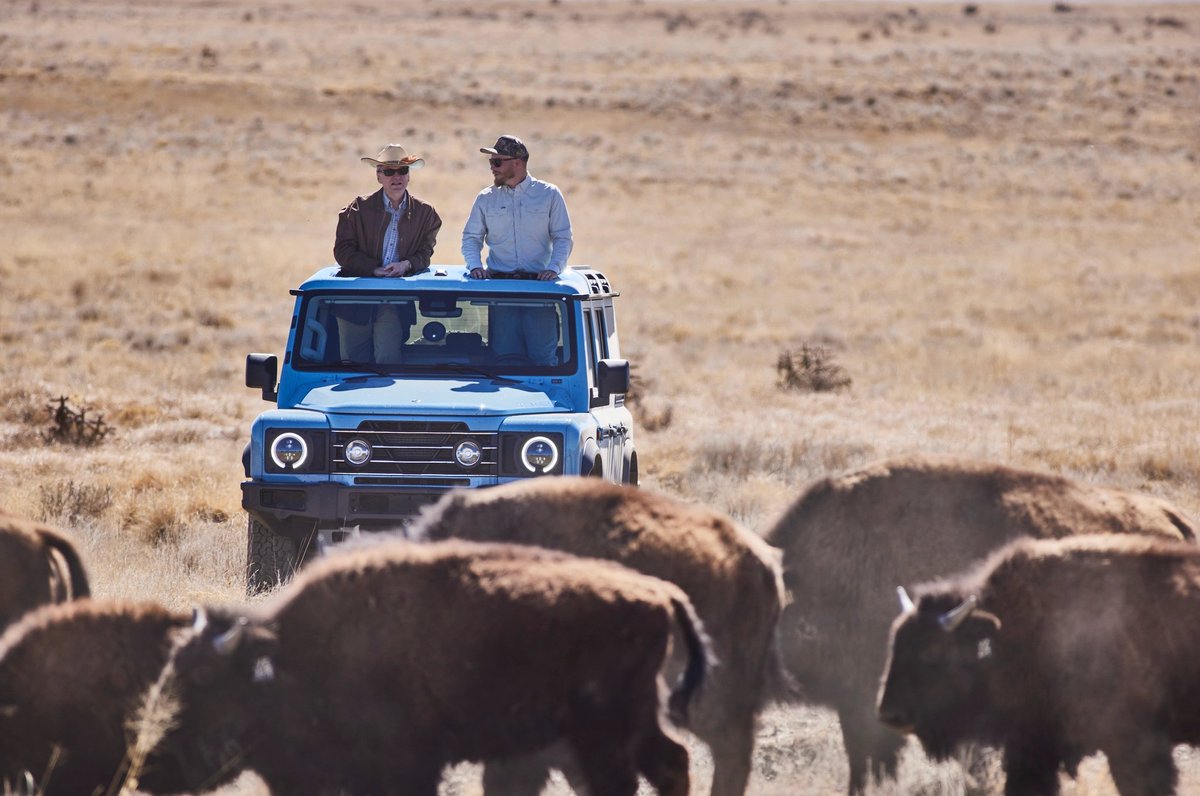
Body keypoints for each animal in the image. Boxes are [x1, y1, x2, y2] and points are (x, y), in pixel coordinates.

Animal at [154, 538, 711, 796]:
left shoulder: (405, 764)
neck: (288, 656)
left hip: (603, 729)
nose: (157, 767)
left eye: (204, 680)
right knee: (670, 761)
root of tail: (661, 595)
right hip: (631, 720)